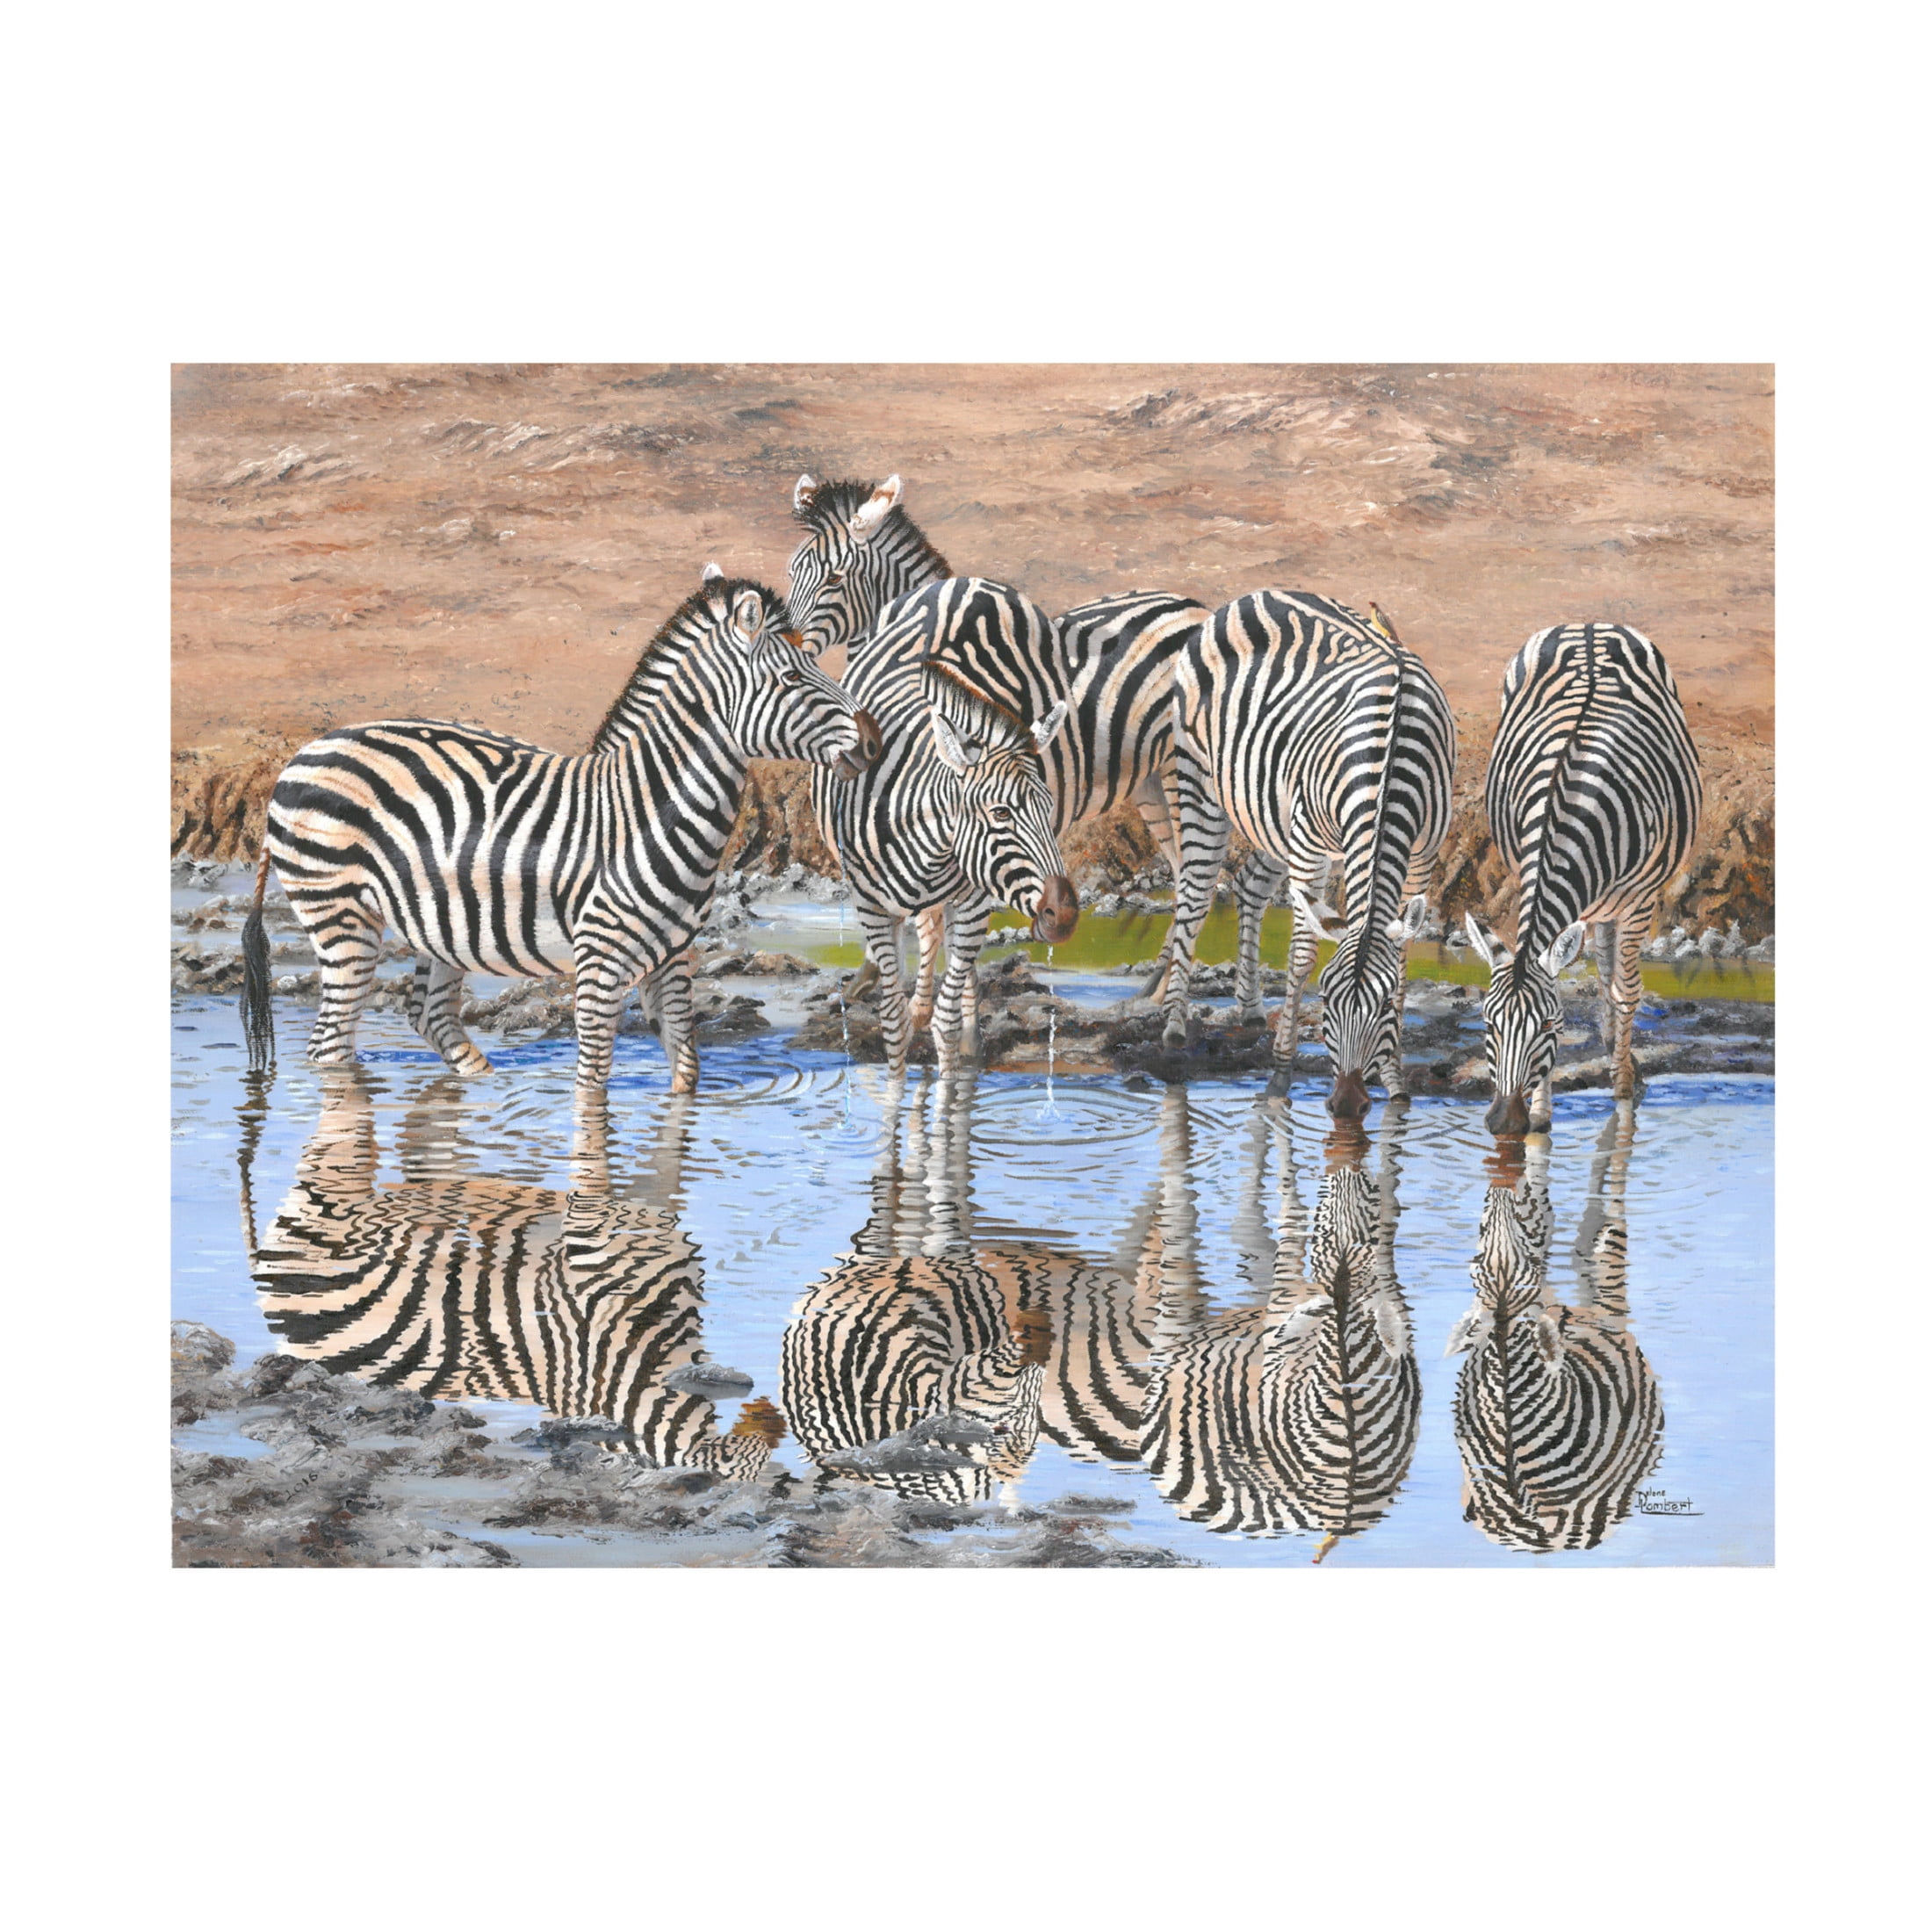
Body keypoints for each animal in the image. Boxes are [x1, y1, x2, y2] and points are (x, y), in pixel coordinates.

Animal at [239, 566, 882, 1096]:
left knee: (428, 1015)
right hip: (341, 917)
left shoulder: (674, 961)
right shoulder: (598, 962)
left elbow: (685, 1078)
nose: (875, 741)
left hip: (436, 926)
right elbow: (591, 1090)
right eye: (791, 678)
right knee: (330, 1048)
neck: (648, 810)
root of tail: (302, 754)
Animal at [812, 576, 1081, 1074]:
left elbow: (947, 1022)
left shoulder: (974, 901)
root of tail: (972, 582)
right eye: (1001, 813)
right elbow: (893, 1023)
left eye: (1048, 809)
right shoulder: (872, 907)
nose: (1065, 915)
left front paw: (958, 1069)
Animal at [1168, 591, 1457, 1116]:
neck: (1390, 755)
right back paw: (1174, 1027)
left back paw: (1250, 1008)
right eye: (1326, 999)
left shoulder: (1424, 852)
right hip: (1200, 780)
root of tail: (1252, 595)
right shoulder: (1309, 843)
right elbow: (1301, 955)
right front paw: (1280, 1074)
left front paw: (1395, 1078)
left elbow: (1404, 958)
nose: (1346, 1104)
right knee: (1194, 895)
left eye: (1384, 1006)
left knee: (1250, 885)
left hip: (1271, 808)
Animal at [1465, 623, 1702, 1134]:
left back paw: (1622, 1060)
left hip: (1624, 900)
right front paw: (1540, 1113)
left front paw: (1623, 1092)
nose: (1504, 1122)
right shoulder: (1524, 871)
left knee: (1616, 976)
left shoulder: (1640, 899)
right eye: (1489, 1025)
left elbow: (1626, 992)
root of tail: (1591, 624)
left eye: (1548, 1027)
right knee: (1605, 962)